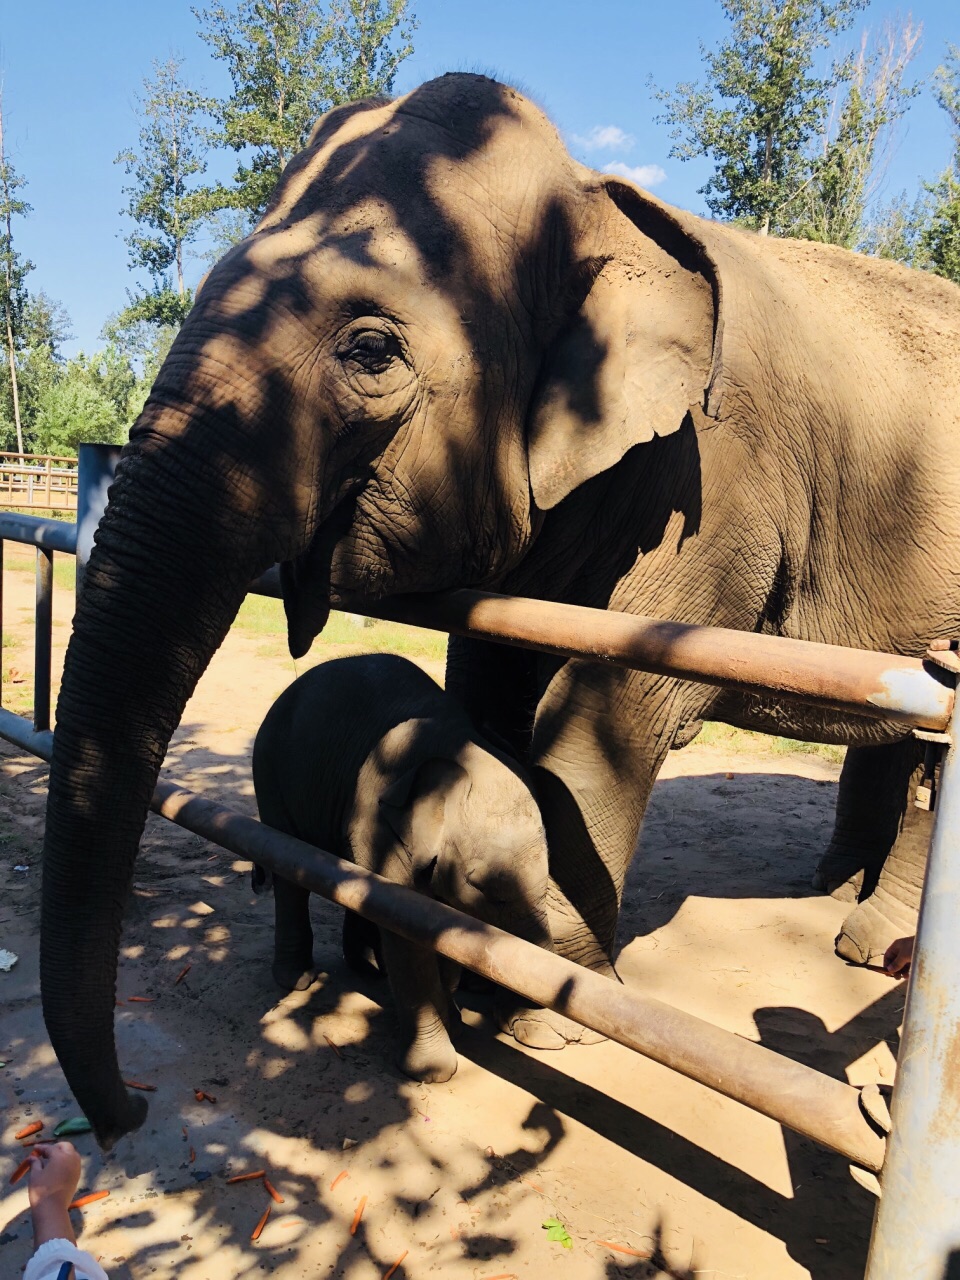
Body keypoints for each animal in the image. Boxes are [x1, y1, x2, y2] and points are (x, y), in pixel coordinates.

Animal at [252, 650, 552, 1080]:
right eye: (482, 886)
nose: (528, 1025)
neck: (460, 747)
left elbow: (442, 928)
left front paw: (455, 1024)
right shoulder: (377, 818)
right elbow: (407, 931)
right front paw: (433, 1071)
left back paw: (367, 967)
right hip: (270, 770)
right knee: (288, 873)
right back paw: (298, 981)